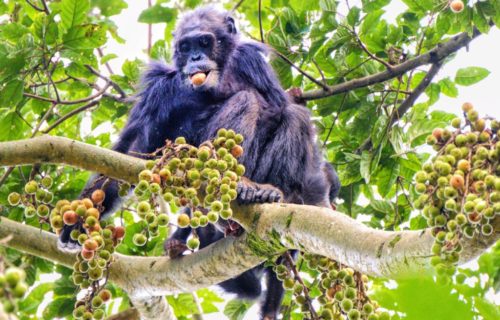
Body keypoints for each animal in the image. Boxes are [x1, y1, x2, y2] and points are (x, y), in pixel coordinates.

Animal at [58, 5, 340, 320]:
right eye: (186, 46)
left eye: (204, 42)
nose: (195, 57)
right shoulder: (156, 91)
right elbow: (130, 151)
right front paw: (80, 220)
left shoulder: (252, 62)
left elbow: (281, 106)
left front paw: (319, 202)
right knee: (247, 101)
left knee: (291, 116)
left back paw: (269, 192)